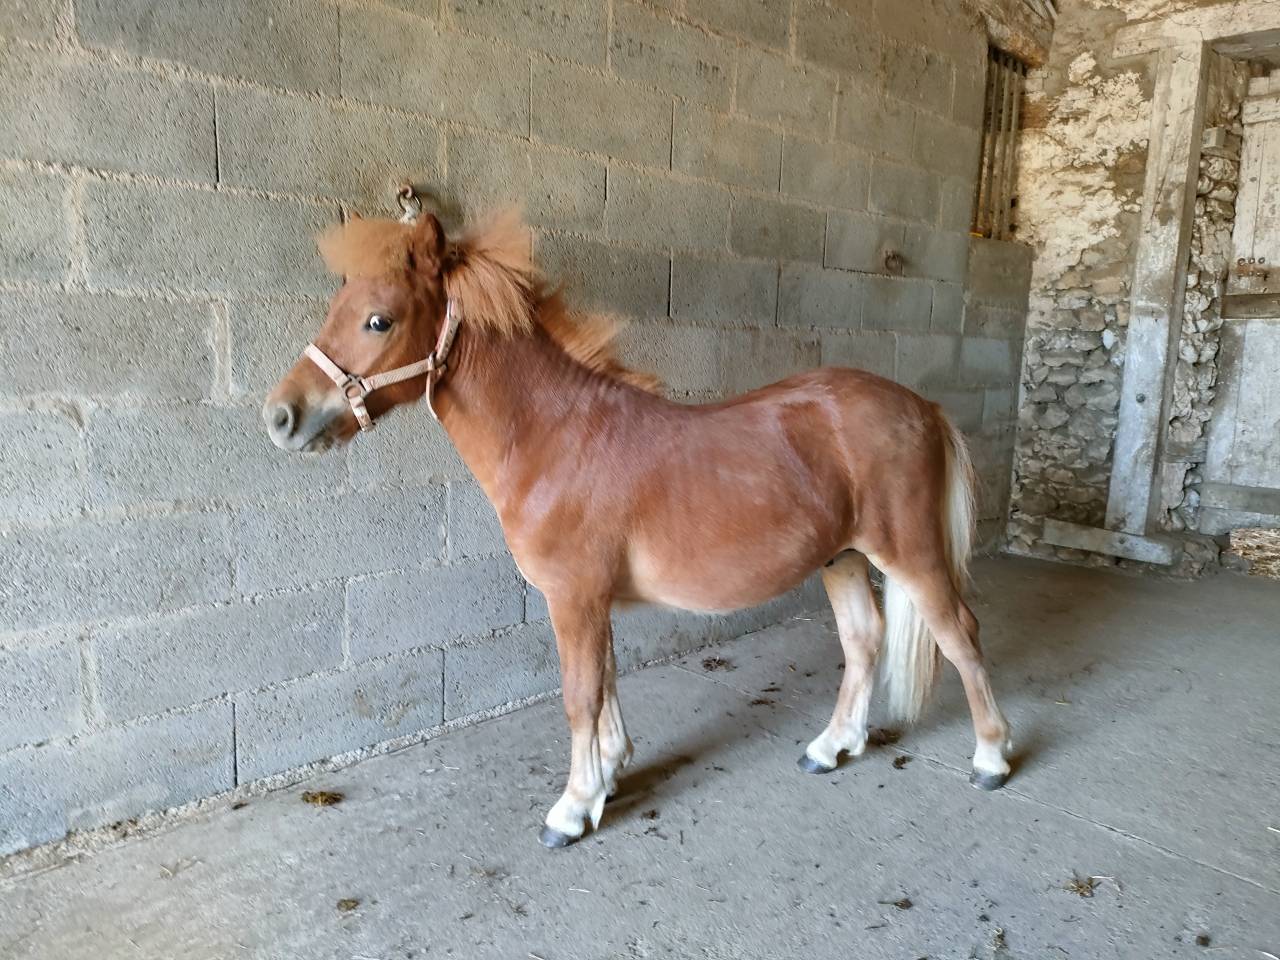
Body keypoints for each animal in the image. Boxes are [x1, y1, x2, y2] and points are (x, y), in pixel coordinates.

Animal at [263, 208, 1012, 849]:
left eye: (378, 320)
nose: (280, 416)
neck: (556, 438)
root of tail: (921, 405)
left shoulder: (573, 598)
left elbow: (579, 696)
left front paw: (570, 810)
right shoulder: (591, 601)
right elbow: (606, 685)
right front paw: (607, 777)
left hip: (910, 551)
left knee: (962, 634)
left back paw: (991, 757)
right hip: (844, 558)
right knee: (864, 640)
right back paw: (831, 748)